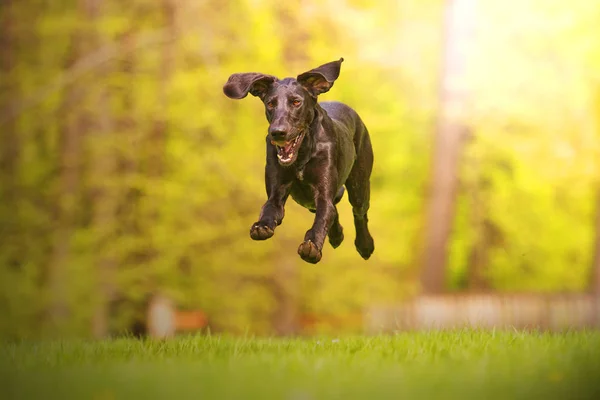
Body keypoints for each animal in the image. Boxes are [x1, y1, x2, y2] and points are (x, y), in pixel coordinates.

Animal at [225, 57, 376, 264]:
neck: (302, 155)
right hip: (306, 200)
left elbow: (323, 216)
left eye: (296, 102)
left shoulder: (323, 193)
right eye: (270, 103)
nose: (277, 132)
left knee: (359, 213)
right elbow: (269, 208)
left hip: (359, 184)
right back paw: (337, 236)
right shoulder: (277, 192)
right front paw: (261, 225)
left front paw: (311, 246)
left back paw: (364, 245)